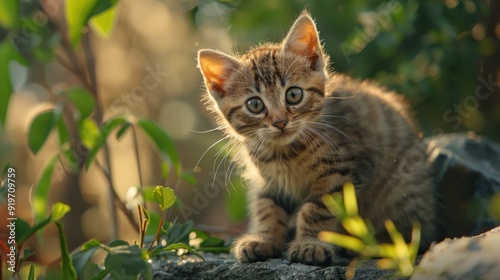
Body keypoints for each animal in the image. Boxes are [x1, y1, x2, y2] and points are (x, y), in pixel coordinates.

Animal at [197, 10, 436, 264]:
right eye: (255, 105)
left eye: (293, 94)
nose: (280, 122)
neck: (285, 153)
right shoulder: (269, 180)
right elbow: (267, 207)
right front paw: (265, 238)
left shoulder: (342, 170)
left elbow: (316, 209)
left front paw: (310, 244)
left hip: (402, 191)